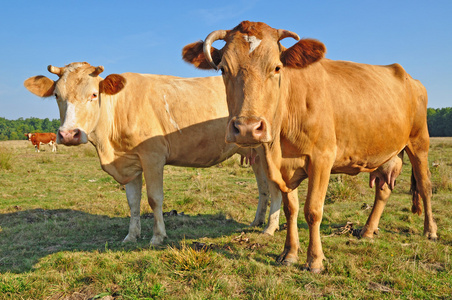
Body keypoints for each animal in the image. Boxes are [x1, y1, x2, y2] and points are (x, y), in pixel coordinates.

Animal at [23, 61, 282, 246]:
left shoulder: (153, 157)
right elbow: (133, 202)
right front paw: (131, 236)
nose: (69, 134)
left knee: (277, 187)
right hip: (255, 152)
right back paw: (257, 221)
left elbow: (154, 198)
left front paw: (158, 237)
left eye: (94, 94)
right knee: (263, 187)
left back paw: (270, 228)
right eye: (57, 95)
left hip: (271, 149)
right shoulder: (128, 163)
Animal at [183, 20, 438, 272]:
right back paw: (367, 230)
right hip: (387, 152)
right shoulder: (284, 168)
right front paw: (289, 253)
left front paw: (314, 260)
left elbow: (313, 210)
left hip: (419, 142)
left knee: (425, 184)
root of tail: (409, 77)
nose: (247, 127)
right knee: (383, 190)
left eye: (277, 68)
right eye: (223, 69)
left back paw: (430, 231)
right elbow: (291, 209)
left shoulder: (322, 158)